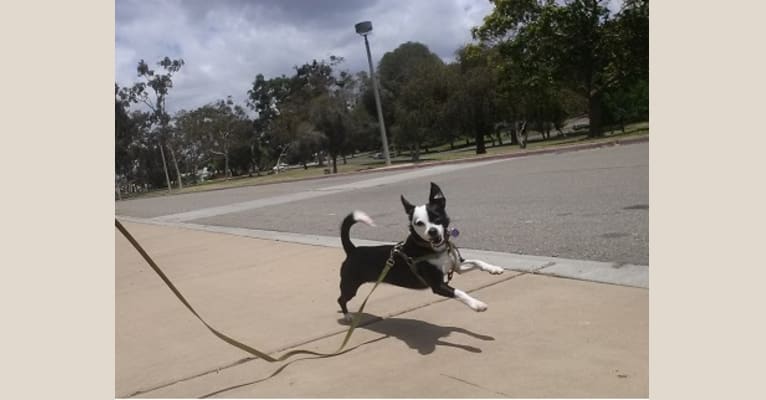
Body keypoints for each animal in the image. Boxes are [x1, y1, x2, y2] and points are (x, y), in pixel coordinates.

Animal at [340, 182, 508, 322]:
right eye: (419, 223)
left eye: (437, 217)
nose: (432, 231)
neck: (435, 250)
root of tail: (353, 249)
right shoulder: (438, 285)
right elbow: (459, 292)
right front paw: (476, 304)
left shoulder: (457, 266)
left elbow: (478, 261)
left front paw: (494, 268)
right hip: (350, 285)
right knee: (341, 299)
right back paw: (347, 316)